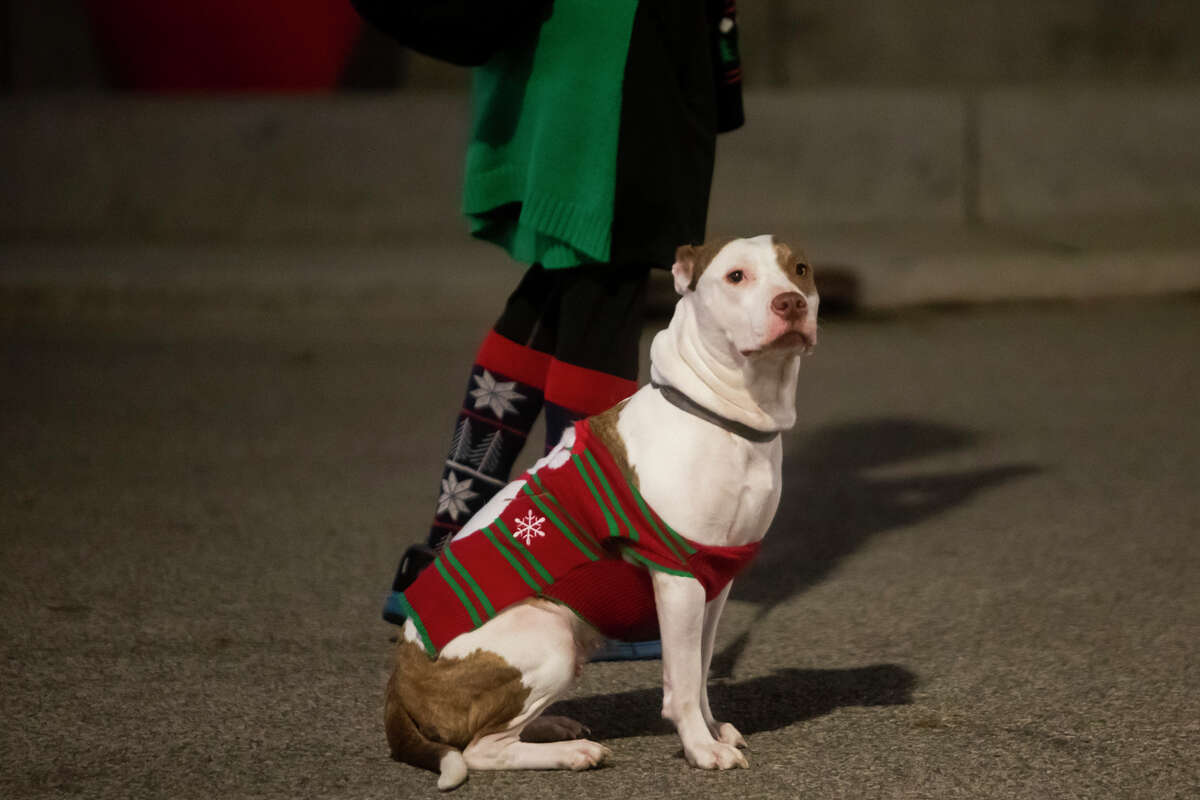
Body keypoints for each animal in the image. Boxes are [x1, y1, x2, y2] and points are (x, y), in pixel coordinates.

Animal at [388, 235, 820, 791]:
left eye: (801, 270)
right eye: (736, 276)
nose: (791, 303)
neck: (724, 418)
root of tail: (399, 684)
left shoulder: (716, 580)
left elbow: (701, 669)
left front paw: (711, 730)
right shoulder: (678, 577)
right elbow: (681, 680)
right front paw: (701, 749)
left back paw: (552, 726)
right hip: (550, 636)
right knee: (483, 749)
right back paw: (573, 753)